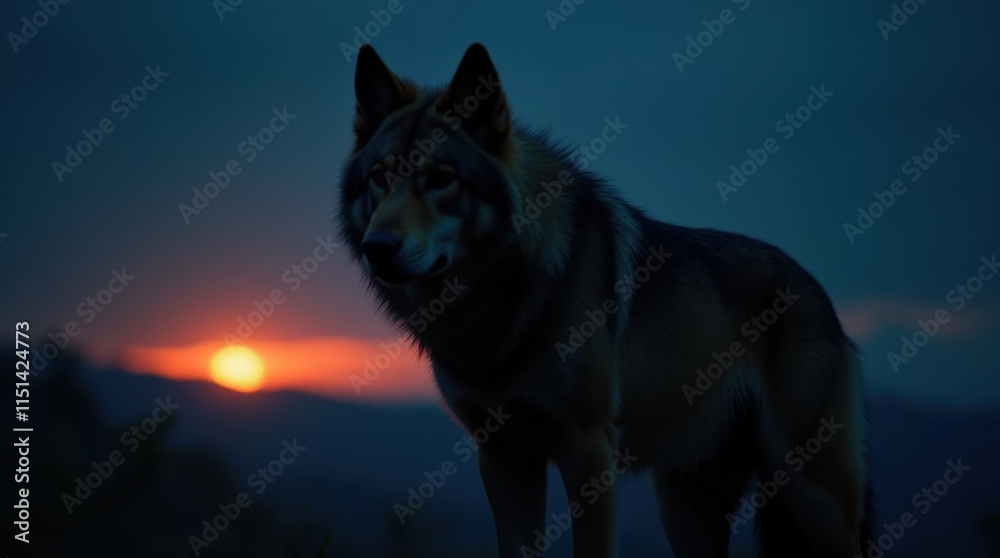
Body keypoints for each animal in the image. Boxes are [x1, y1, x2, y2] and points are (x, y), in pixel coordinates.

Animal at [338, 43, 874, 558]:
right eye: (380, 177)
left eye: (441, 178)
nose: (376, 247)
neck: (497, 302)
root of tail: (820, 295)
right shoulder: (504, 455)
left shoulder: (589, 447)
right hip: (685, 509)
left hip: (809, 491)